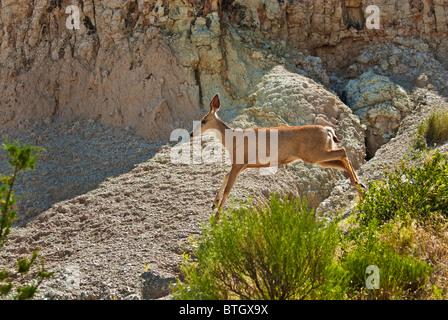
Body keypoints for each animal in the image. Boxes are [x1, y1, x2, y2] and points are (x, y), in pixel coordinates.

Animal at [191, 94, 366, 221]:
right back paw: (361, 190)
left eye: (203, 120)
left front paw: (216, 218)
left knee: (343, 152)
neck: (232, 139)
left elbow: (228, 188)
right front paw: (213, 204)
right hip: (318, 157)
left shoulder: (239, 162)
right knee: (342, 159)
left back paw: (359, 187)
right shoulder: (242, 165)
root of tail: (328, 130)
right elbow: (226, 177)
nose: (192, 133)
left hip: (315, 154)